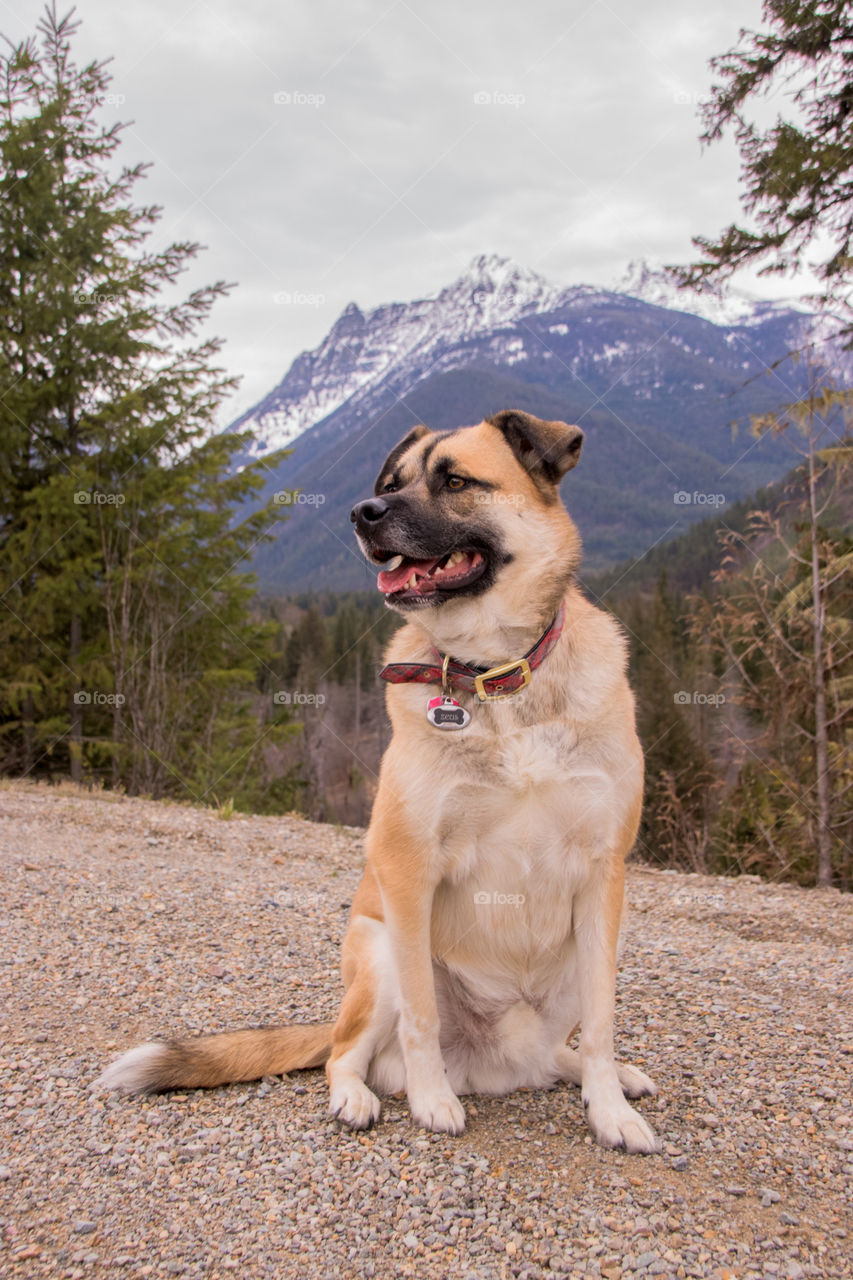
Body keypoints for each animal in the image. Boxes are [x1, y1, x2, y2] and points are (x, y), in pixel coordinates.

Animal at [99, 414, 655, 1157]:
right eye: (389, 484)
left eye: (455, 481)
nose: (362, 513)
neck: (494, 677)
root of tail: (494, 1065)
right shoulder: (407, 871)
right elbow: (421, 1016)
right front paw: (430, 1101)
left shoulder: (602, 875)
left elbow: (600, 1022)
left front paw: (610, 1110)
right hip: (379, 950)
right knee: (344, 1053)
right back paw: (360, 1097)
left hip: (572, 960)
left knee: (555, 1050)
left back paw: (610, 1077)